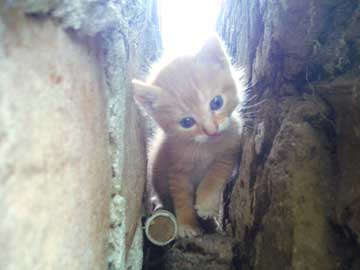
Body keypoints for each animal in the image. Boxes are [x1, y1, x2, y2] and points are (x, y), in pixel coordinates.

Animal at [131, 35, 243, 238]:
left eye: (216, 102)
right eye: (187, 122)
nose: (211, 130)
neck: (204, 147)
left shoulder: (230, 151)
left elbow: (215, 175)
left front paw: (206, 204)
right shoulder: (176, 171)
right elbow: (182, 198)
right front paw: (188, 224)